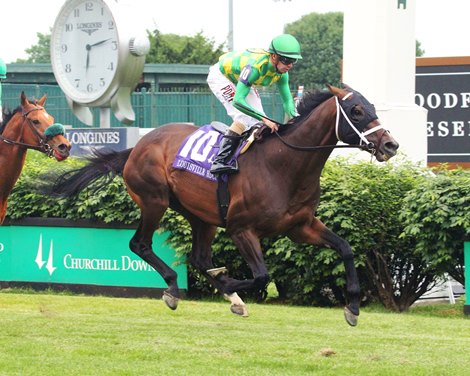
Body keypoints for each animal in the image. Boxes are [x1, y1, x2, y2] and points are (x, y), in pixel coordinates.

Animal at [48, 83, 400, 324]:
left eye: (373, 107)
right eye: (356, 112)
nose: (390, 144)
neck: (285, 165)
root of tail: (136, 146)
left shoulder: (301, 226)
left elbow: (346, 248)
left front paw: (352, 306)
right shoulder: (241, 229)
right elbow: (262, 276)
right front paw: (228, 280)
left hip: (200, 216)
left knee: (199, 257)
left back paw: (230, 296)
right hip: (153, 200)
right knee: (140, 244)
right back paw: (175, 288)